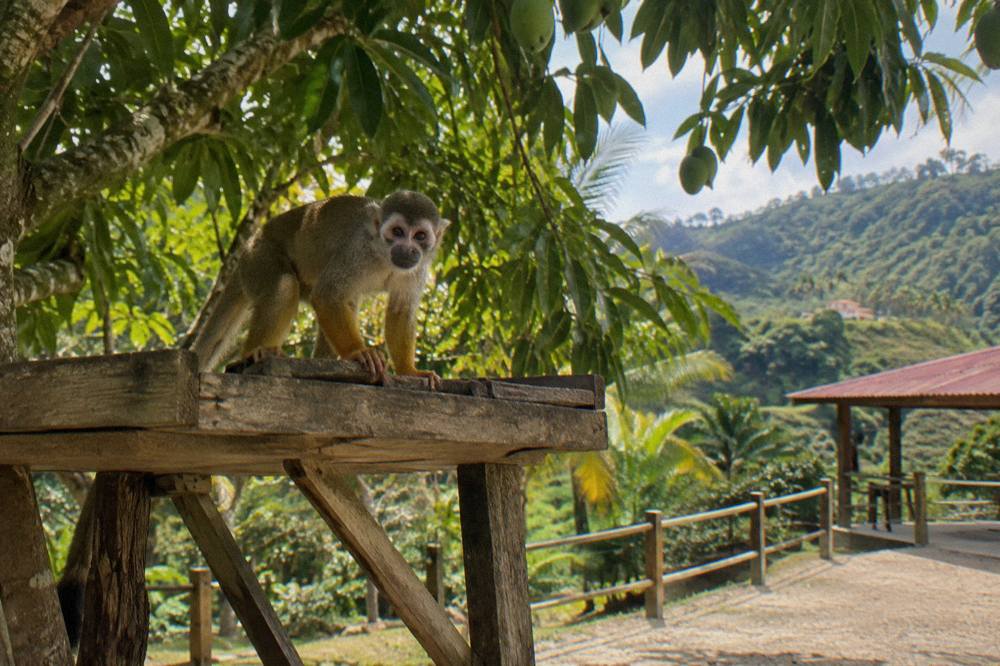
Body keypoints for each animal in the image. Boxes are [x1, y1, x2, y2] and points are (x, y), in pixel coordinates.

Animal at [190, 190, 450, 387]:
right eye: (397, 232)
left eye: (420, 236)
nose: (408, 250)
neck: (385, 256)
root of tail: (247, 246)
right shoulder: (357, 250)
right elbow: (327, 294)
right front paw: (357, 352)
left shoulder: (418, 267)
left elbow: (401, 309)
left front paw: (409, 370)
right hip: (259, 257)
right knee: (285, 284)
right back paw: (255, 353)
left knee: (347, 299)